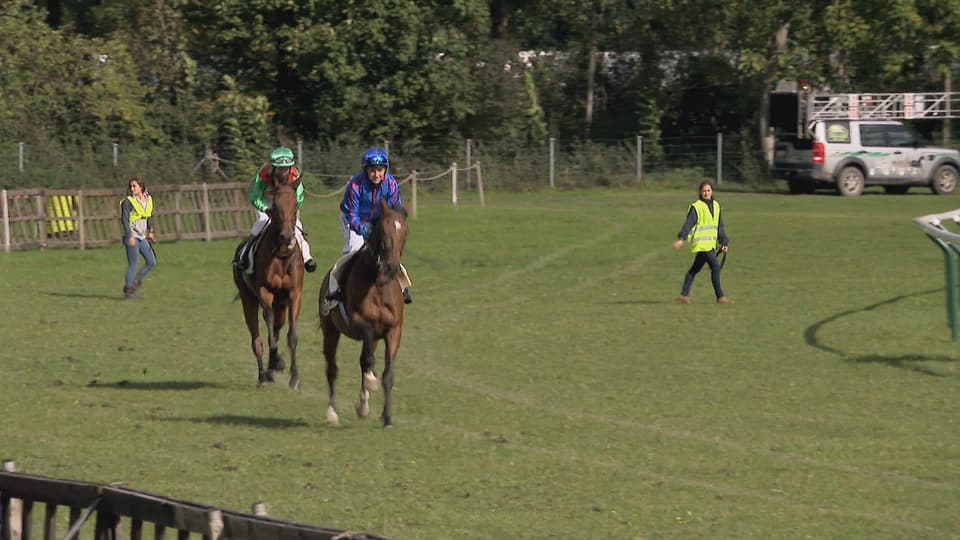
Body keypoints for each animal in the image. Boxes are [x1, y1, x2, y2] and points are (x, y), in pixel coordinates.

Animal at [231, 181, 302, 388]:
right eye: (275, 206)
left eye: (295, 204)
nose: (286, 237)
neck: (282, 256)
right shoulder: (265, 291)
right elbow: (268, 324)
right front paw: (276, 362)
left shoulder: (295, 293)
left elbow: (291, 335)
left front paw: (294, 377)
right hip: (248, 299)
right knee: (257, 339)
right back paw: (263, 374)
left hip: (281, 304)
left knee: (277, 330)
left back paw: (271, 369)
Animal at [322, 198, 408, 426]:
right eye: (384, 230)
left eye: (404, 231)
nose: (391, 268)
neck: (378, 284)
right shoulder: (359, 321)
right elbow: (367, 357)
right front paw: (371, 381)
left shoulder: (393, 330)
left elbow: (387, 374)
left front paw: (387, 417)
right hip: (330, 331)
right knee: (332, 368)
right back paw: (332, 412)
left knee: (363, 358)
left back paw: (363, 405)